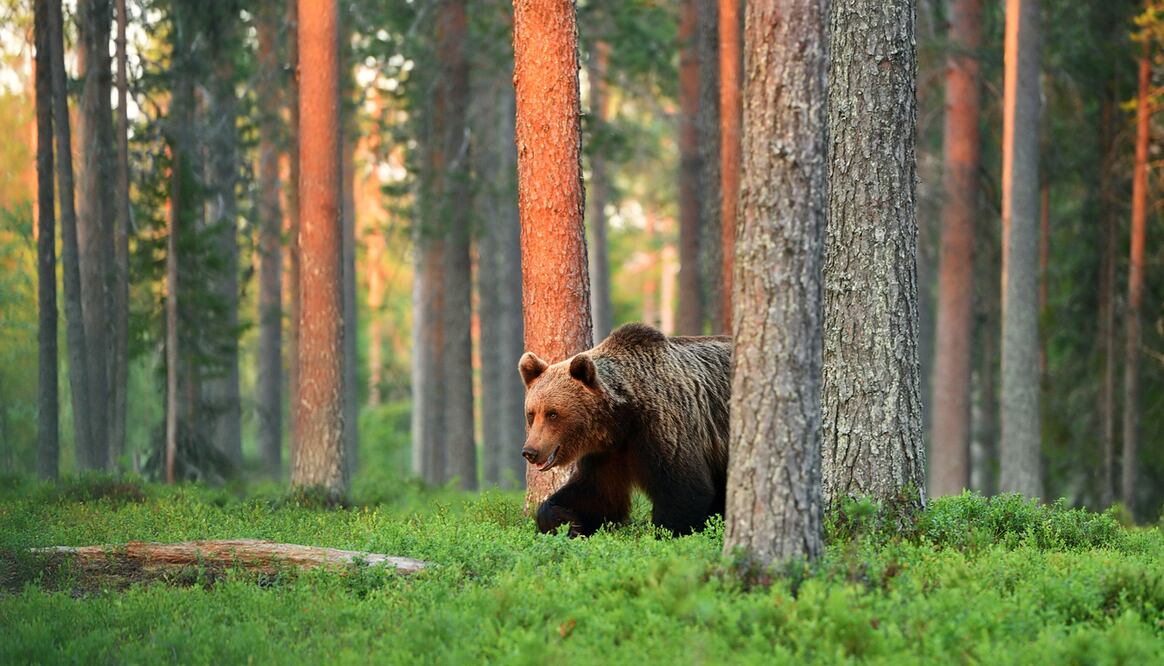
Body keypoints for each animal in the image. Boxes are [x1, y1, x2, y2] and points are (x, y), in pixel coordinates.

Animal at [518, 322, 731, 537]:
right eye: (531, 413)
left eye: (553, 414)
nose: (530, 451)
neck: (622, 419)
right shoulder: (607, 452)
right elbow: (597, 494)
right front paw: (563, 521)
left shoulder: (662, 427)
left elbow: (682, 489)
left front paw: (667, 532)